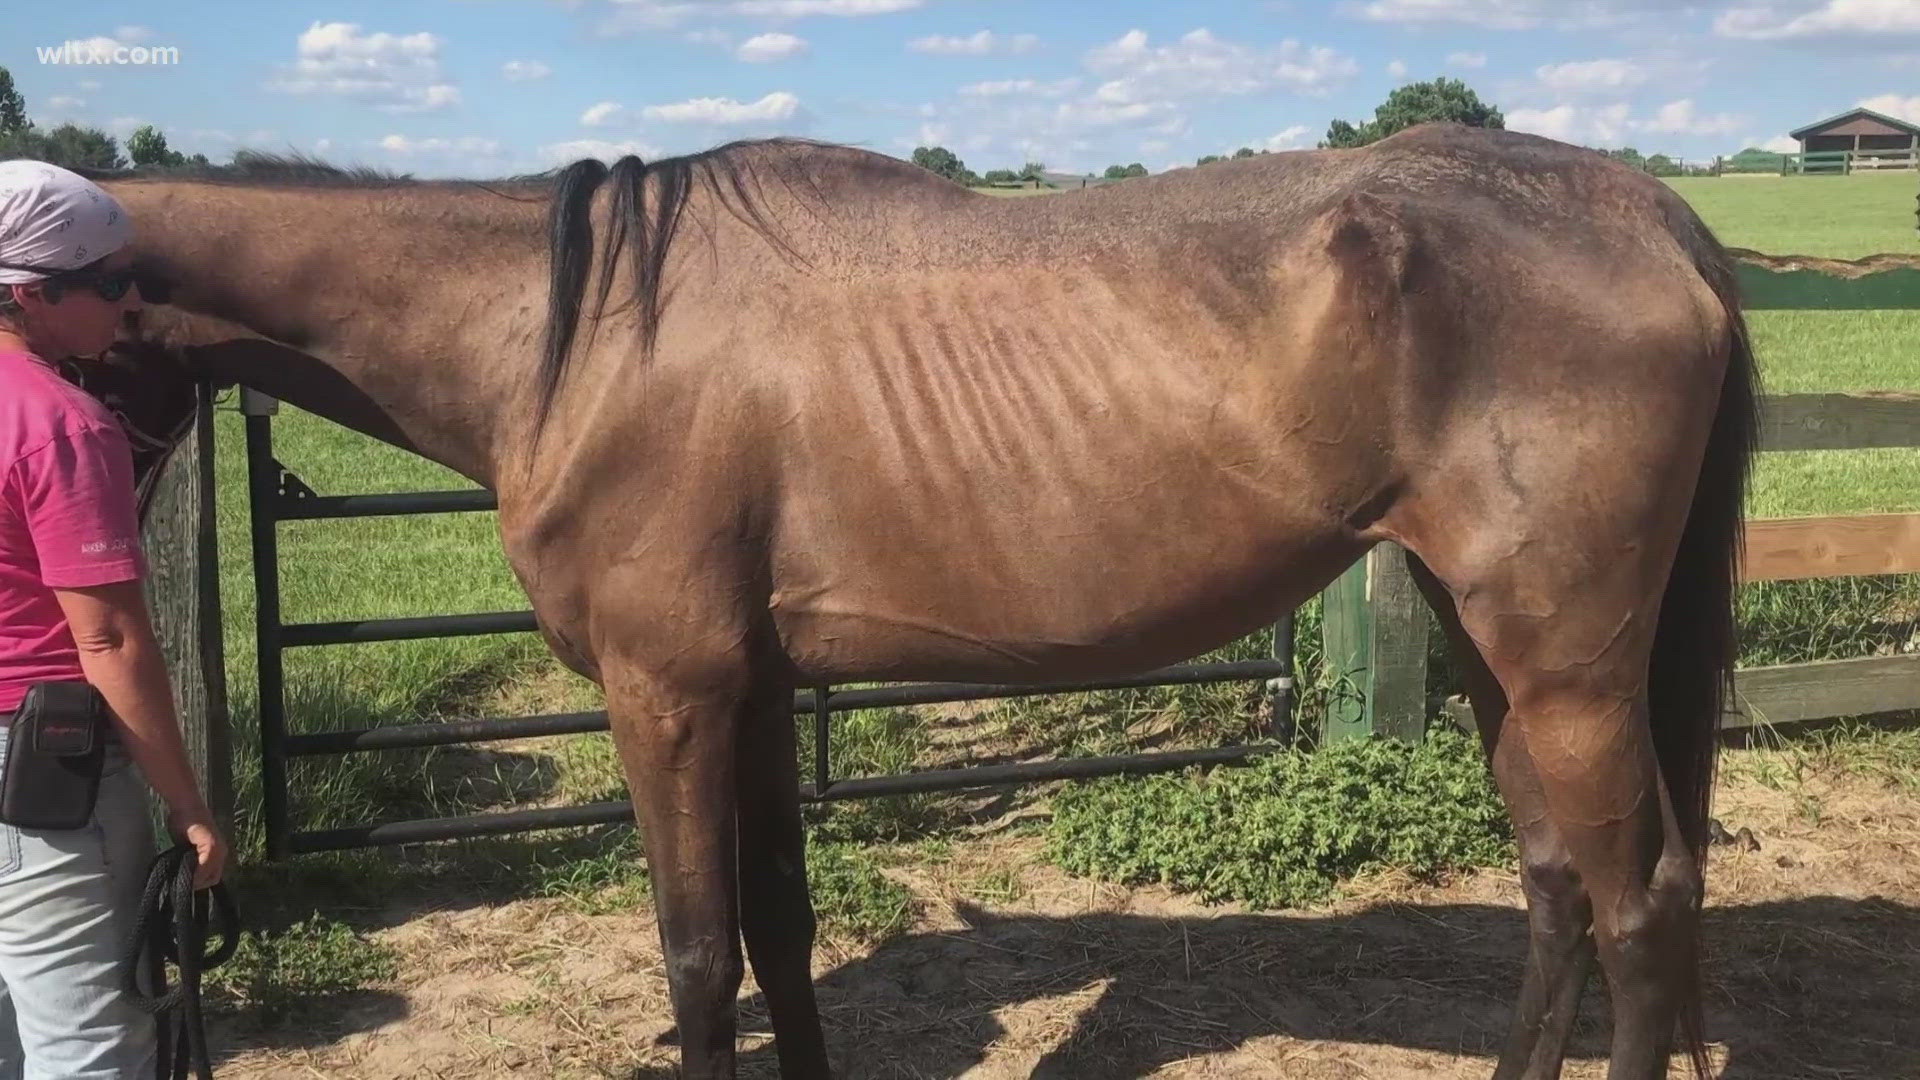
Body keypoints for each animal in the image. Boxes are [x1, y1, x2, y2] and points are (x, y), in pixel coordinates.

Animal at [93, 122, 1758, 1068]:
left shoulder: (666, 697)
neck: (574, 338)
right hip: (1492, 646)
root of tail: (1642, 212)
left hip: (1571, 667)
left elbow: (696, 959)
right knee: (1556, 890)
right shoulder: (757, 694)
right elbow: (778, 927)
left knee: (1636, 909)